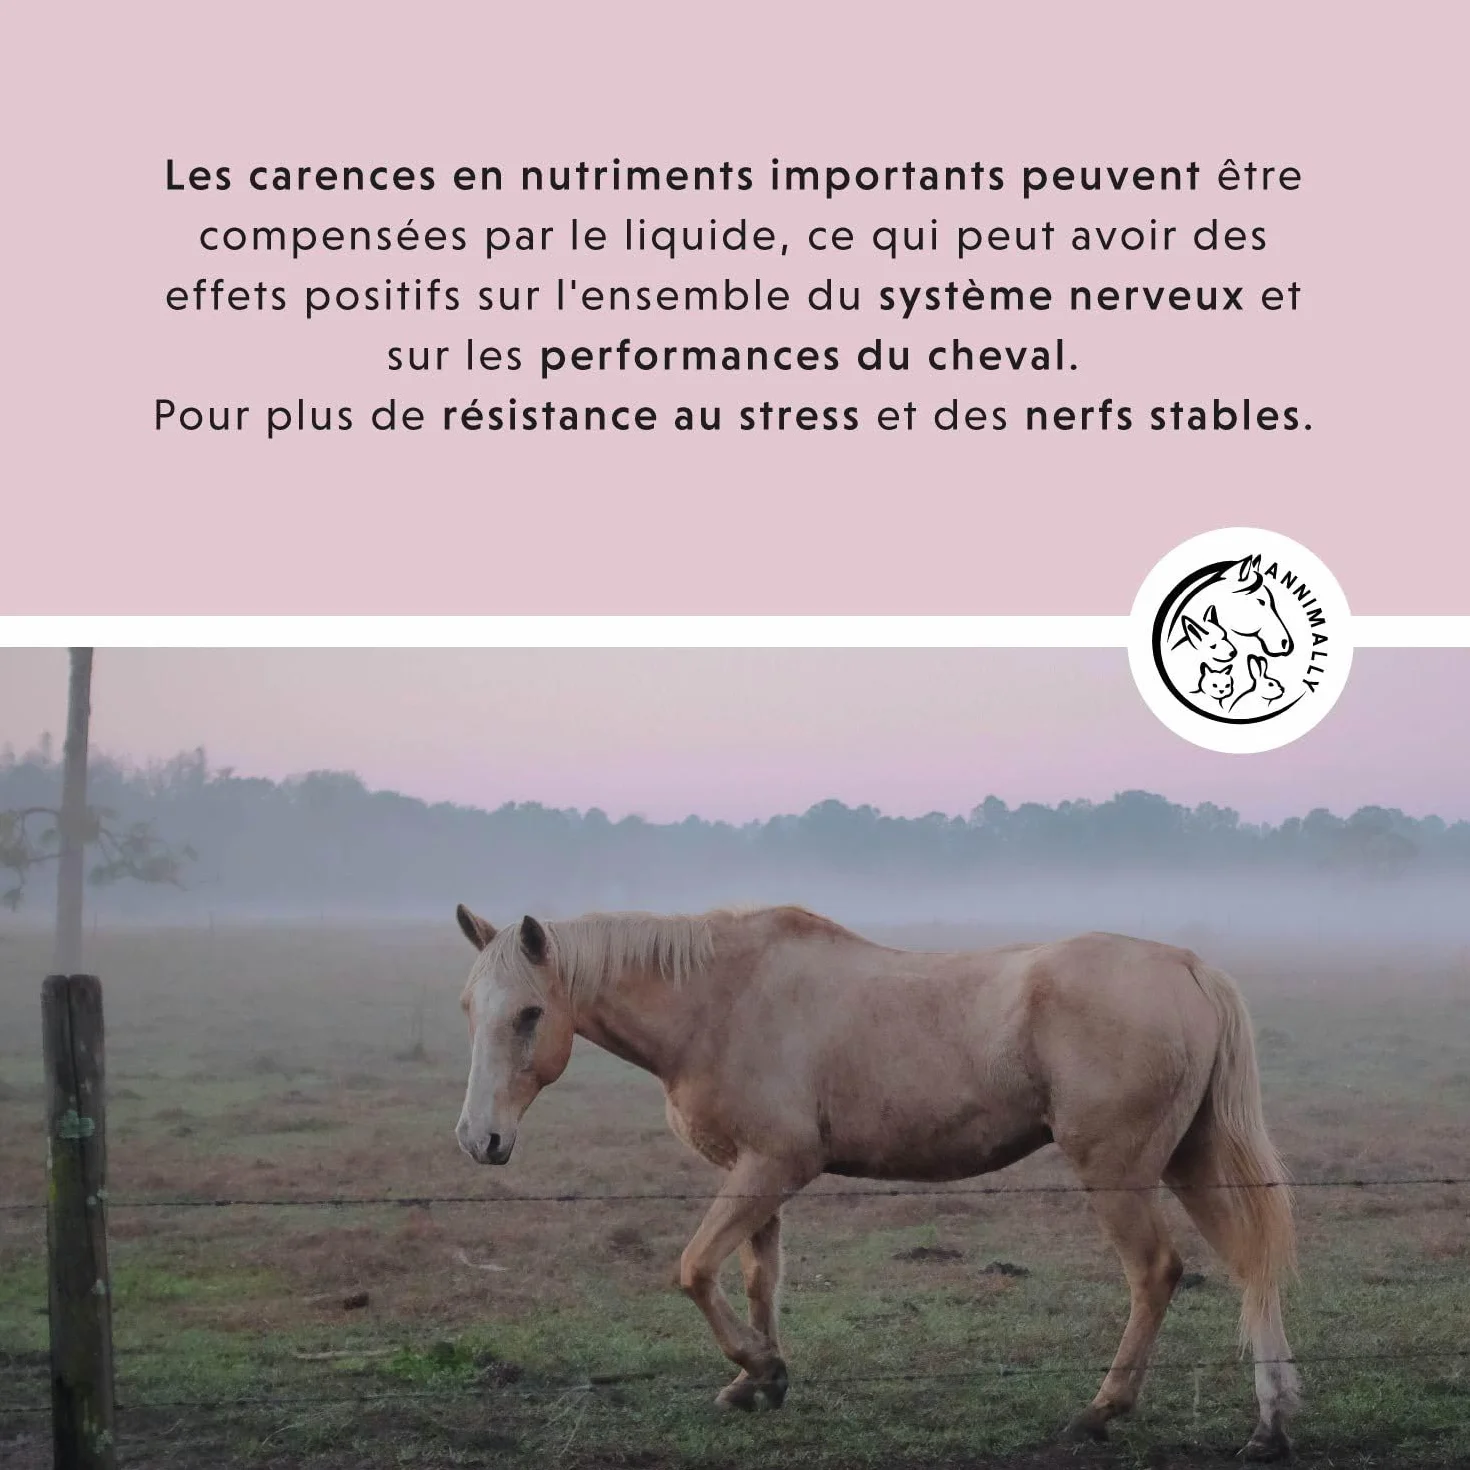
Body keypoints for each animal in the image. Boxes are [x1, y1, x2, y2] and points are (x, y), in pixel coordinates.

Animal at [453, 903, 1300, 1461]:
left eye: (529, 1013)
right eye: (468, 1008)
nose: (478, 1140)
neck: (722, 1001)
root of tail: (1188, 966)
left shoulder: (772, 1168)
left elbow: (694, 1270)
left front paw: (761, 1370)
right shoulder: (755, 1175)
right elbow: (757, 1280)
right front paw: (758, 1381)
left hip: (1119, 1174)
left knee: (1156, 1273)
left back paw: (1101, 1412)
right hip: (1190, 1162)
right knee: (1251, 1266)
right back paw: (1269, 1424)